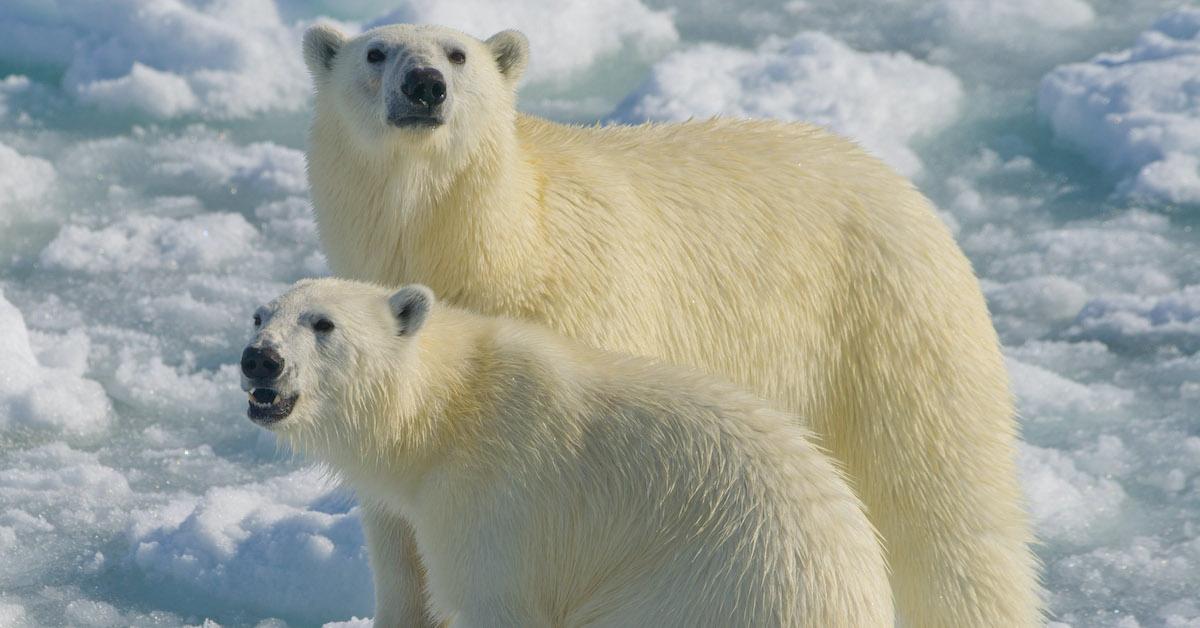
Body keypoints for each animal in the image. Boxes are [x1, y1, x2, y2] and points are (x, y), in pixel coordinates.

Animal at [238, 279, 892, 628]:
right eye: (259, 314)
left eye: (323, 323)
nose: (260, 359)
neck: (447, 411)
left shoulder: (498, 505)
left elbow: (491, 599)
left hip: (698, 592)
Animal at [300, 22, 1041, 624]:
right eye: (375, 52)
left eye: (458, 54)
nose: (425, 86)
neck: (500, 241)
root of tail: (897, 180)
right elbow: (396, 521)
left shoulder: (583, 319)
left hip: (888, 328)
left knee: (943, 509)